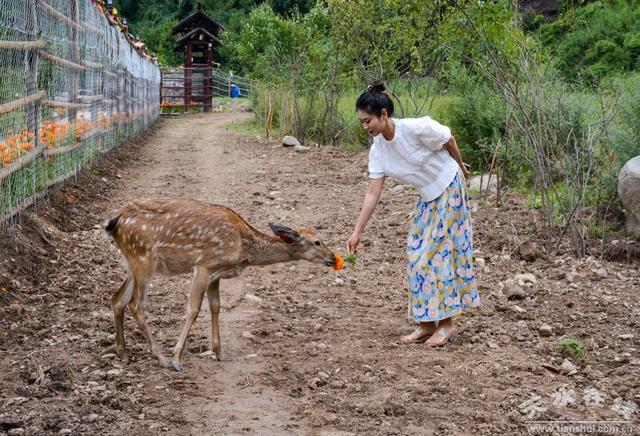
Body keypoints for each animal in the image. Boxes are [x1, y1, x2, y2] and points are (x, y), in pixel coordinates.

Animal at [102, 199, 338, 370]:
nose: (333, 258)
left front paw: (219, 353)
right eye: (317, 241)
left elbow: (216, 307)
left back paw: (123, 354)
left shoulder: (216, 274)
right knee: (135, 305)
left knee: (117, 299)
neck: (243, 249)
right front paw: (177, 358)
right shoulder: (204, 265)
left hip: (132, 262)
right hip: (144, 258)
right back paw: (162, 358)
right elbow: (193, 310)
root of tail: (115, 222)